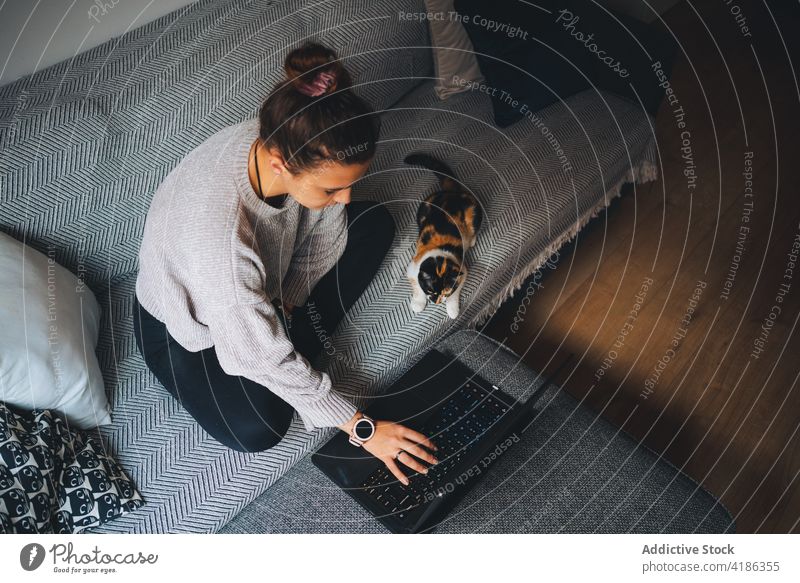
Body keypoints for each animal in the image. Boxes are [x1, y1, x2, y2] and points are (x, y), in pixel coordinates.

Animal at [406, 154, 482, 320]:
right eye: (430, 290)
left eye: (445, 292)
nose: (437, 301)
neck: (439, 254)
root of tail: (452, 193)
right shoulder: (413, 267)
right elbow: (417, 287)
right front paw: (418, 304)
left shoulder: (461, 272)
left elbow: (456, 292)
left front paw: (452, 310)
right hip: (424, 206)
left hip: (474, 212)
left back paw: (471, 240)